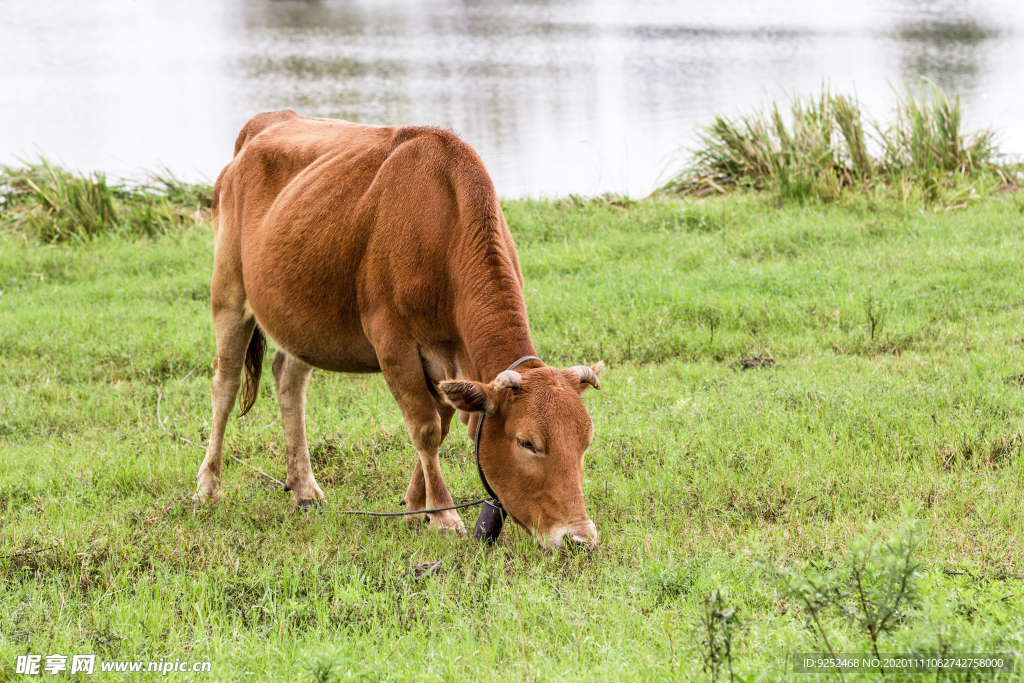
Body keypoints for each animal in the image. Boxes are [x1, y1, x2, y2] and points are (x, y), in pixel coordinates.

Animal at [195, 111, 602, 548]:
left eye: (585, 441)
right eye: (526, 442)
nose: (580, 537)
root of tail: (267, 121)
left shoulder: (447, 362)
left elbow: (441, 425)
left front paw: (414, 506)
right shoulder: (393, 343)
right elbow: (425, 428)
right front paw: (443, 514)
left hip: (299, 317)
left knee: (288, 380)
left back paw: (303, 488)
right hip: (228, 291)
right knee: (225, 384)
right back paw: (208, 486)